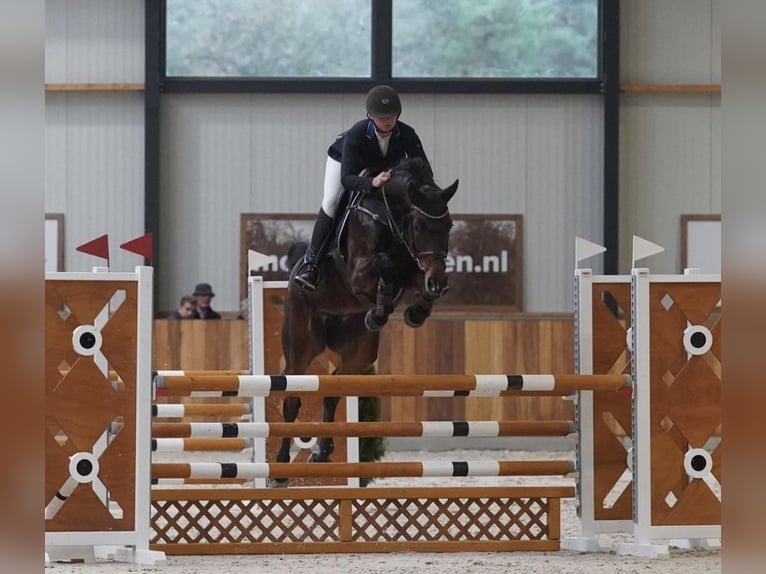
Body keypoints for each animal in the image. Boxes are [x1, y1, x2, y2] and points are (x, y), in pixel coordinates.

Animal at [272, 159, 460, 486]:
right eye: (420, 226)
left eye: (448, 226)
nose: (436, 281)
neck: (391, 216)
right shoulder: (359, 272)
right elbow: (383, 265)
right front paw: (382, 308)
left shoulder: (413, 268)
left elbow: (411, 279)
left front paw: (416, 310)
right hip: (302, 345)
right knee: (292, 395)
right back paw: (281, 467)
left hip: (358, 354)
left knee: (333, 390)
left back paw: (322, 453)